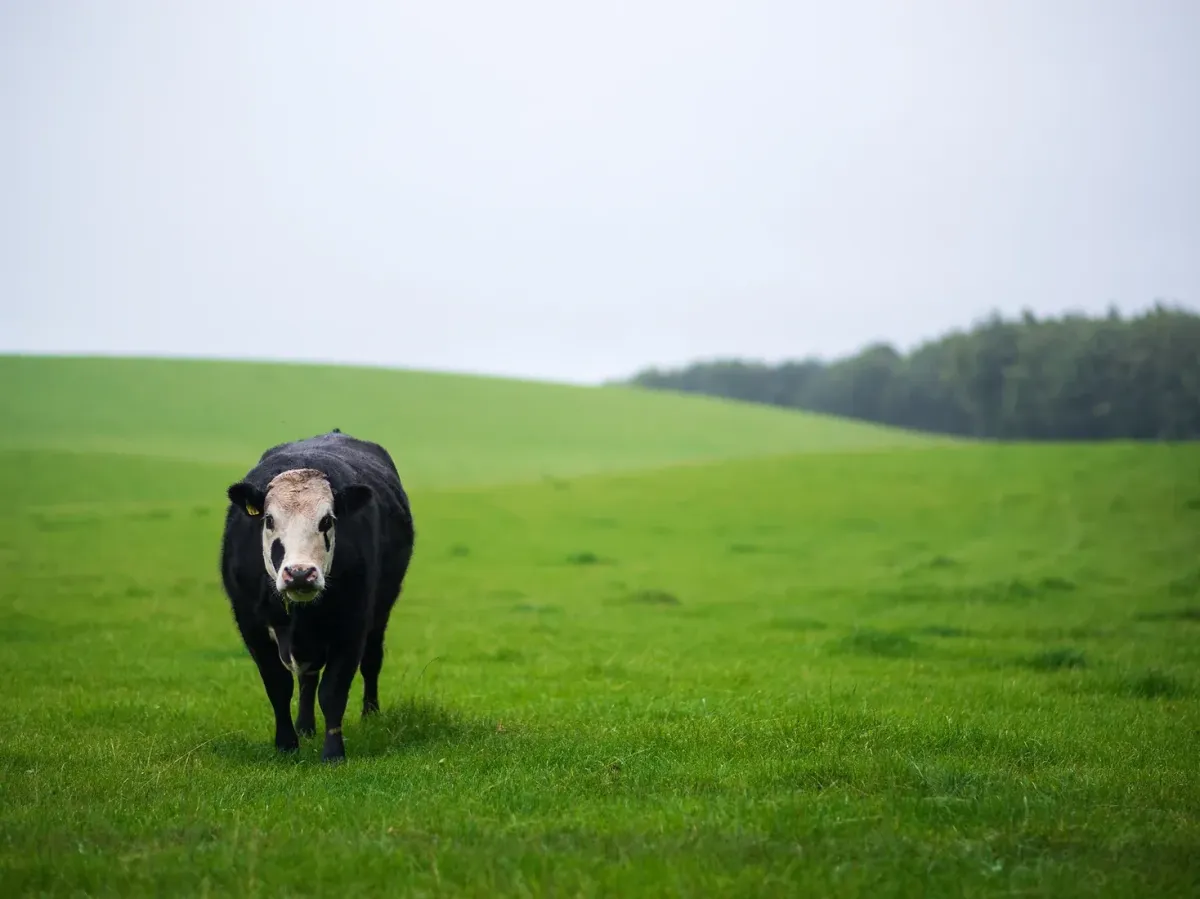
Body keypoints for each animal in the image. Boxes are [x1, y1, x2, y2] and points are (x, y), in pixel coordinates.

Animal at [220, 427, 417, 758]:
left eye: (326, 520)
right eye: (269, 520)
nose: (300, 573)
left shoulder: (352, 623)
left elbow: (333, 691)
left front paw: (333, 752)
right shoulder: (250, 623)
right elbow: (279, 685)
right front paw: (287, 744)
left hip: (380, 612)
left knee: (371, 661)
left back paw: (370, 715)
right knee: (307, 679)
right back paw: (304, 726)